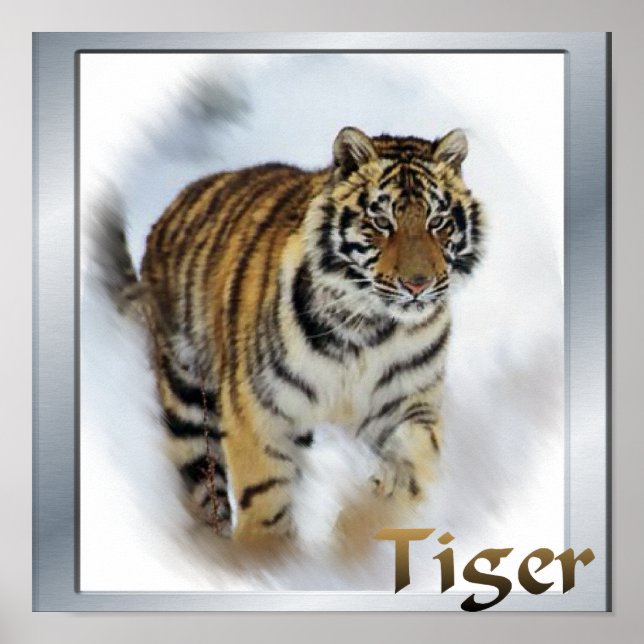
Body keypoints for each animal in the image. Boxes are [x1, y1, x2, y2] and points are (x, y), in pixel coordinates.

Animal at [105, 126, 484, 542]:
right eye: (382, 222)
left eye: (438, 222)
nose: (418, 284)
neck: (369, 329)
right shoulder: (260, 411)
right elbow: (265, 494)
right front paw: (266, 549)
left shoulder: (408, 402)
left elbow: (416, 460)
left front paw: (367, 515)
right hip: (188, 401)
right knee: (204, 492)